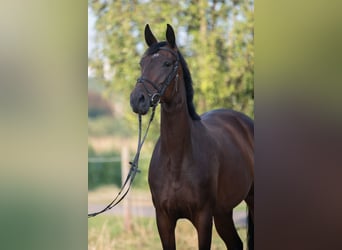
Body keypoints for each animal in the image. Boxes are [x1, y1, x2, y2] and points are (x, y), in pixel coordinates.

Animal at [130, 23, 252, 250]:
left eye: (167, 63)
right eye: (142, 63)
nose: (137, 99)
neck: (177, 160)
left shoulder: (203, 218)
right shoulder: (164, 219)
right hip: (223, 212)